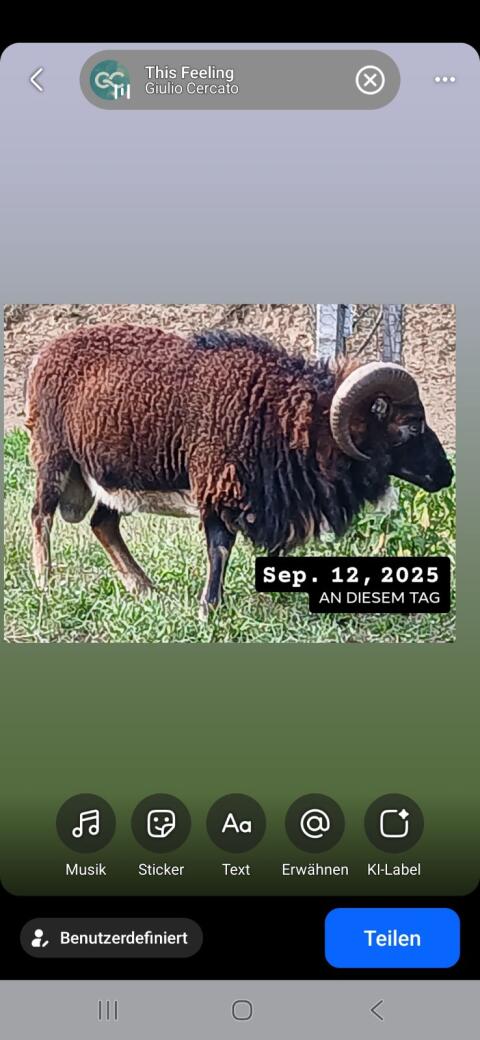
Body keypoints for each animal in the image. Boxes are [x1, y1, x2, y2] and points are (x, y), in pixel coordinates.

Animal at [25, 325, 453, 619]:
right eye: (412, 424)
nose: (445, 474)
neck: (287, 417)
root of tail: (45, 353)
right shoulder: (219, 486)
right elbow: (220, 547)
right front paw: (209, 608)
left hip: (114, 480)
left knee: (103, 524)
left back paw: (145, 590)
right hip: (53, 458)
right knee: (41, 516)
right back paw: (45, 583)